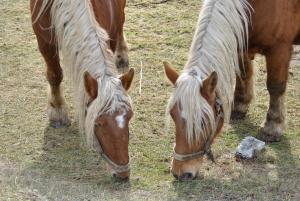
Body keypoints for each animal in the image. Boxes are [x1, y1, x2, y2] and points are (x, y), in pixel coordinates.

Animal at [29, 0, 134, 180]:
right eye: (98, 123)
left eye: (129, 117)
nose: (123, 173)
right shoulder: (44, 41)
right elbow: (54, 75)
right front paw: (57, 110)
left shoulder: (111, 32)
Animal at [164, 0, 300, 181]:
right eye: (173, 115)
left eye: (203, 122)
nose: (180, 172)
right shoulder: (241, 41)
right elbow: (243, 74)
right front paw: (240, 106)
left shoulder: (280, 49)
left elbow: (275, 86)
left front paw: (272, 127)